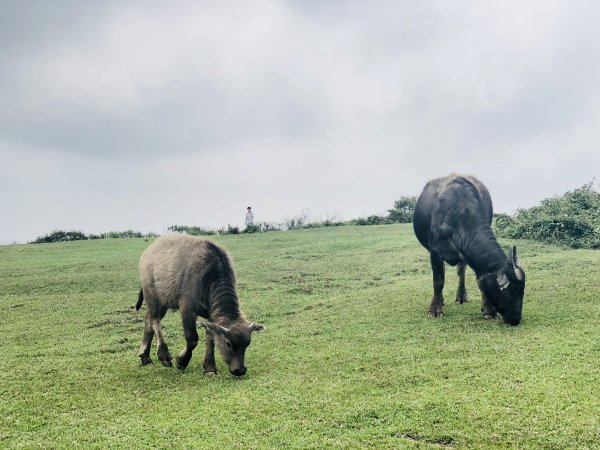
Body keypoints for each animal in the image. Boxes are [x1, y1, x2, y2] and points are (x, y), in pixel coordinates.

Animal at [139, 236, 266, 376]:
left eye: (247, 344)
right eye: (228, 344)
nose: (240, 370)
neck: (210, 277)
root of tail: (150, 251)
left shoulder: (211, 316)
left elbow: (210, 338)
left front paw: (210, 368)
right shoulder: (187, 309)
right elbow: (192, 339)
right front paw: (182, 361)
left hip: (164, 302)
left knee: (148, 319)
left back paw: (145, 357)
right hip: (153, 296)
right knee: (155, 320)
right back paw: (163, 355)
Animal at [412, 174, 524, 326]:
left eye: (522, 291)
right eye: (512, 290)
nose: (516, 319)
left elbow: (480, 282)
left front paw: (488, 310)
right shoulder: (435, 252)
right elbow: (438, 280)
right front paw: (435, 309)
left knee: (461, 273)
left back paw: (461, 297)